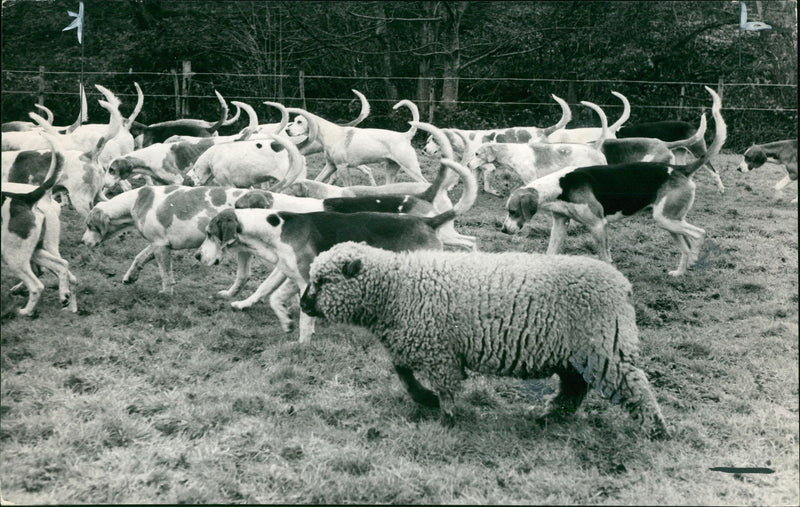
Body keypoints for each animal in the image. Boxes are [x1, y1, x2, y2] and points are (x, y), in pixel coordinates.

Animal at [300, 244, 668, 438]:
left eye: (324, 281)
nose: (303, 304)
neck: (396, 289)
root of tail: (623, 285)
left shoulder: (438, 352)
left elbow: (445, 388)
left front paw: (446, 419)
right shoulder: (413, 343)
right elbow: (403, 374)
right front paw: (424, 398)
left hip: (605, 348)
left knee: (636, 386)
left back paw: (656, 430)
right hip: (577, 354)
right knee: (574, 387)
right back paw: (551, 416)